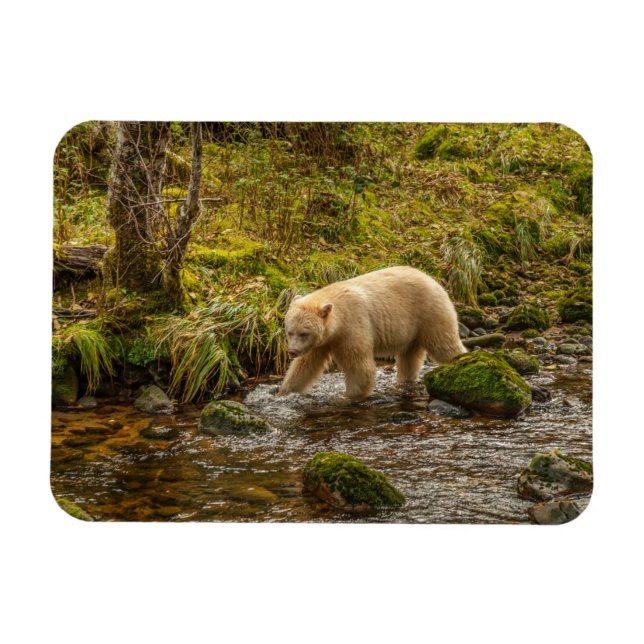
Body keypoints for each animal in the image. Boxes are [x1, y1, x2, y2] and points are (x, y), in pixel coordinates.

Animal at [278, 266, 467, 400]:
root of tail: (433, 280)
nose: (292, 351)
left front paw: (349, 396)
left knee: (444, 344)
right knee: (409, 358)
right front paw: (284, 392)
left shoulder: (352, 327)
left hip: (429, 313)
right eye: (290, 332)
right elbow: (305, 366)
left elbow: (360, 367)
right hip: (412, 331)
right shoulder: (323, 342)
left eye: (304, 333)